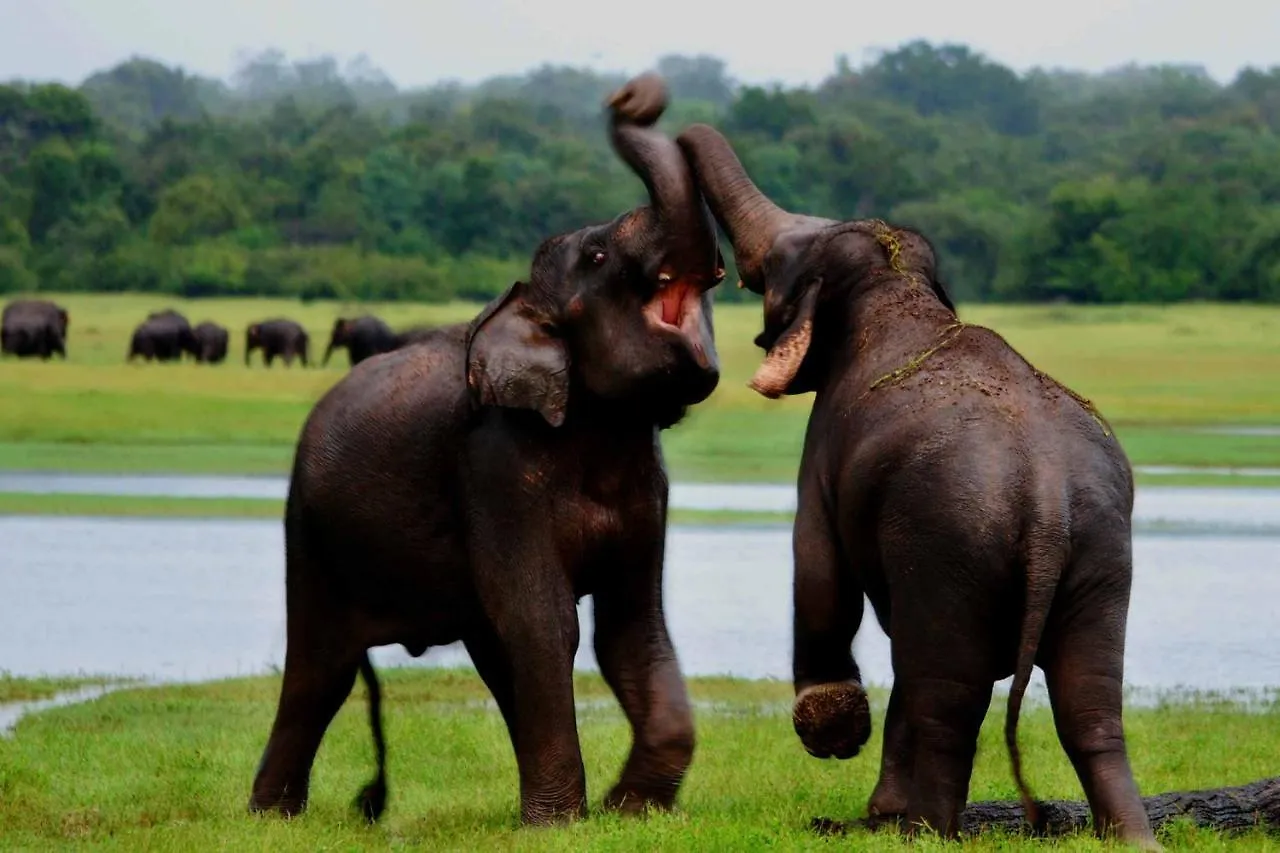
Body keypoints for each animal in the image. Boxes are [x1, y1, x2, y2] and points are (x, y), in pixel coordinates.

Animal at [248, 71, 727, 824]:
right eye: (597, 256)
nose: (631, 93)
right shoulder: (495, 464)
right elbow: (543, 619)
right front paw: (564, 823)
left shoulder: (649, 479)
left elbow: (632, 625)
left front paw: (627, 808)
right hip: (309, 527)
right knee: (320, 668)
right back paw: (270, 817)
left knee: (487, 654)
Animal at [680, 122, 1162, 845]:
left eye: (783, 261)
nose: (631, 103)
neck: (897, 283)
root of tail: (1045, 495)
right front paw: (876, 806)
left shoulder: (822, 450)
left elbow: (818, 571)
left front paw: (839, 746)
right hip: (1102, 548)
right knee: (1088, 699)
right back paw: (1133, 838)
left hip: (951, 538)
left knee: (948, 692)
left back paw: (926, 831)